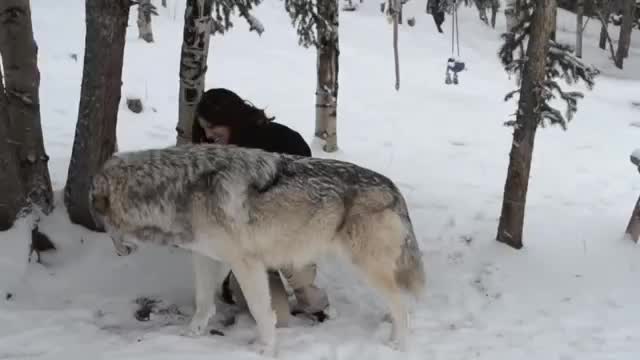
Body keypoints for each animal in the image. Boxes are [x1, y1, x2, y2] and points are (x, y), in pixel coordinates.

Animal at [89, 143, 424, 354]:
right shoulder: (208, 258)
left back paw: (398, 345)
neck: (178, 189)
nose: (119, 253)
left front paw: (265, 348)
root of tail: (394, 188)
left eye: (103, 222)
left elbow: (262, 311)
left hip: (366, 267)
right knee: (398, 305)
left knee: (403, 307)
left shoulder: (245, 264)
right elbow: (203, 302)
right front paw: (191, 335)